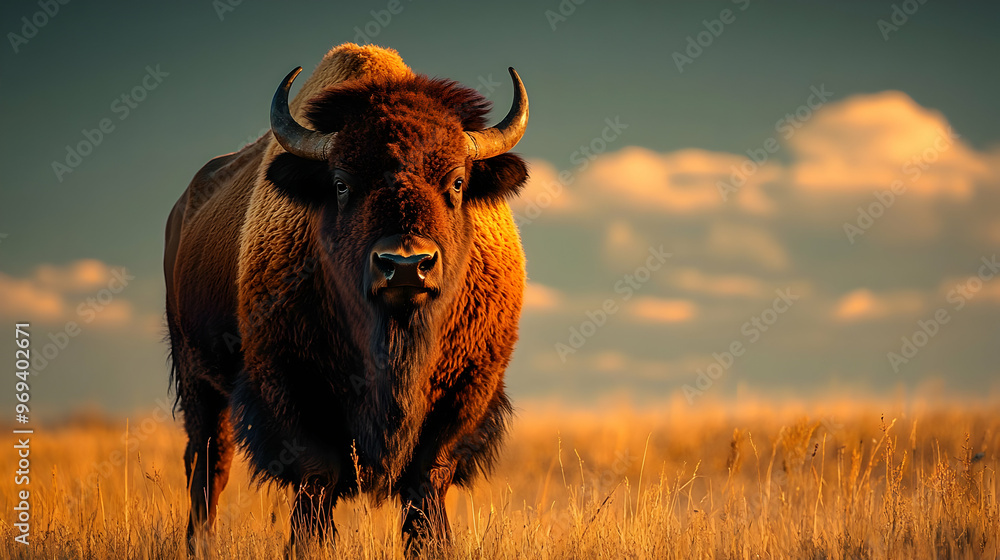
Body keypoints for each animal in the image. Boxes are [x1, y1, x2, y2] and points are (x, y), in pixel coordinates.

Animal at [166, 43, 532, 552]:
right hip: (196, 376)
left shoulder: (469, 388)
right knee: (206, 463)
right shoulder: (287, 383)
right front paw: (308, 547)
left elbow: (428, 478)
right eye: (340, 183)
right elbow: (317, 476)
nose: (405, 265)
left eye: (457, 182)